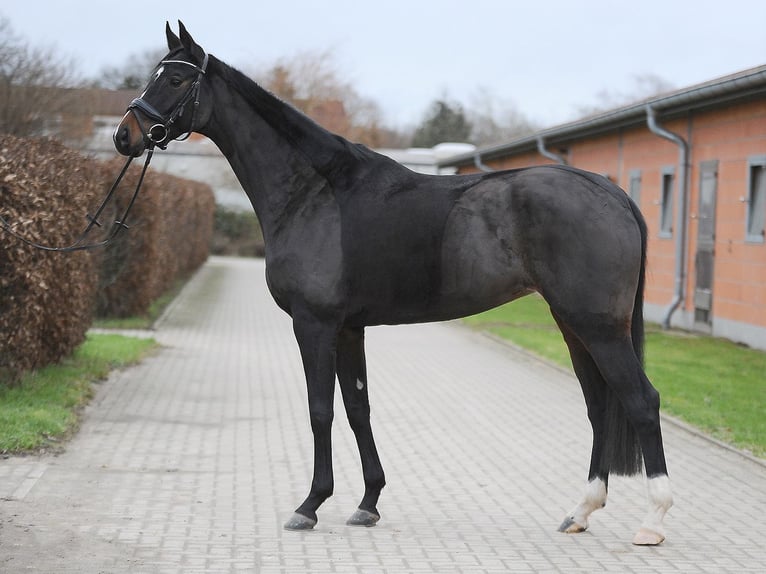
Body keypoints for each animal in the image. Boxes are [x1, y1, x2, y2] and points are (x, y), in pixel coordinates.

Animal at [114, 22, 672, 548]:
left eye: (177, 78)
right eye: (155, 74)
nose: (125, 135)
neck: (314, 192)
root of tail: (612, 193)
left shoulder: (314, 325)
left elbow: (320, 411)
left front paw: (310, 505)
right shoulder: (348, 328)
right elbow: (357, 408)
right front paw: (368, 503)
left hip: (598, 327)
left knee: (641, 400)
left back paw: (653, 521)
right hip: (572, 323)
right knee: (599, 405)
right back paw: (580, 512)